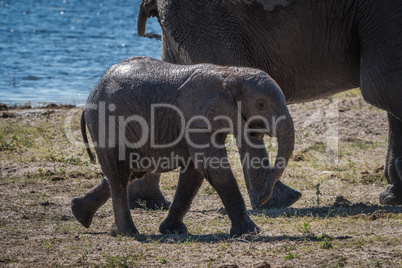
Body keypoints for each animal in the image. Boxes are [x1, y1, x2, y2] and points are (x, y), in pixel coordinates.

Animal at [78, 56, 294, 237]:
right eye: (261, 105)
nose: (261, 200)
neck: (229, 73)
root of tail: (90, 95)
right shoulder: (195, 117)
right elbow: (213, 166)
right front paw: (250, 232)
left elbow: (194, 172)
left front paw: (172, 231)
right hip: (106, 123)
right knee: (119, 174)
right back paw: (129, 233)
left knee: (132, 170)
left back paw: (80, 213)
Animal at [134, 0, 398, 207]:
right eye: (261, 105)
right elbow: (382, 88)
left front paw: (392, 197)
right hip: (207, 22)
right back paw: (278, 201)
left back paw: (148, 202)